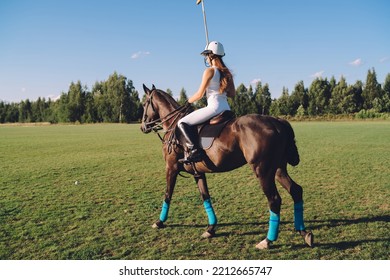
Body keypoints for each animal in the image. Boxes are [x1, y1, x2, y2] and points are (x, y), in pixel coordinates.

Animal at [139, 84, 312, 248]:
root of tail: (277, 122)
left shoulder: (171, 168)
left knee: (274, 200)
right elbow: (205, 196)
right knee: (296, 190)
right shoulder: (198, 172)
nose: (143, 127)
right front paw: (210, 229)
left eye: (144, 103)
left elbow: (168, 194)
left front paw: (159, 222)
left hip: (262, 170)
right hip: (278, 169)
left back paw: (267, 240)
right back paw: (304, 233)